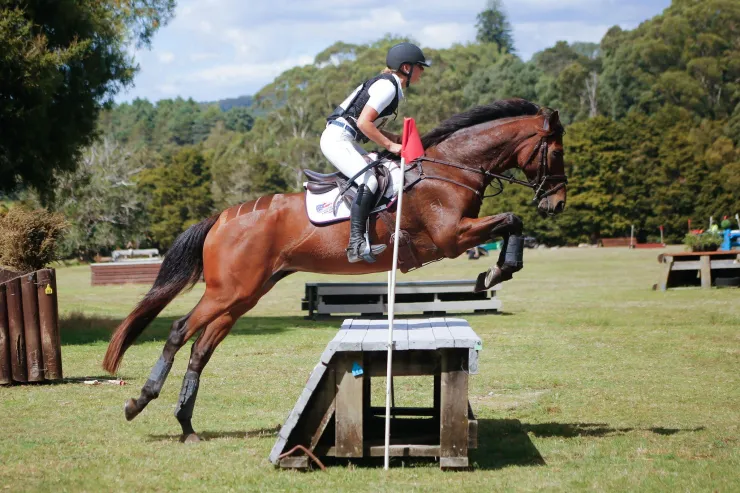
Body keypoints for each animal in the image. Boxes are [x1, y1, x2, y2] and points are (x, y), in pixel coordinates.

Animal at [102, 98, 567, 442]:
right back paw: (140, 401)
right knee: (179, 330)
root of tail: (220, 219)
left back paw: (186, 424)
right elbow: (512, 219)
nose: (557, 203)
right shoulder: (451, 236)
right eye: (558, 151)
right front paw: (497, 272)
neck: (449, 168)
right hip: (226, 292)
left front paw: (496, 272)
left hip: (243, 295)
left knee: (201, 348)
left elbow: (512, 222)